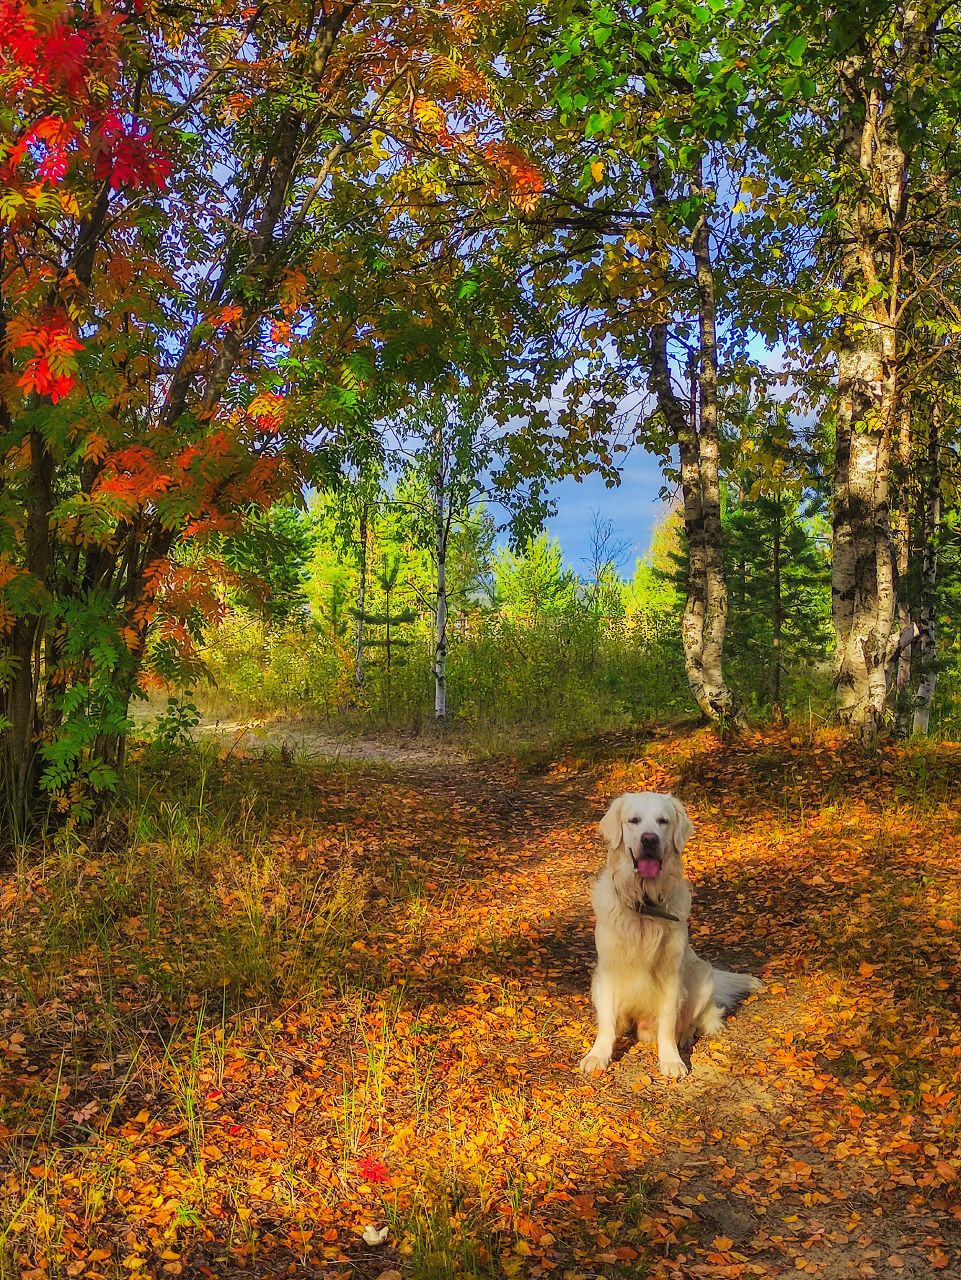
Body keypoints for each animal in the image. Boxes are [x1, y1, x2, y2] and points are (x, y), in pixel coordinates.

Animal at [578, 788, 757, 1080]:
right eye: (634, 821)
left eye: (663, 821)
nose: (649, 839)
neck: (644, 904)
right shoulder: (609, 970)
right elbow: (606, 1022)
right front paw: (598, 1054)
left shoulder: (672, 974)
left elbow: (668, 1024)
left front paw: (672, 1060)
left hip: (703, 978)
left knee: (693, 1021)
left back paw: (685, 1037)